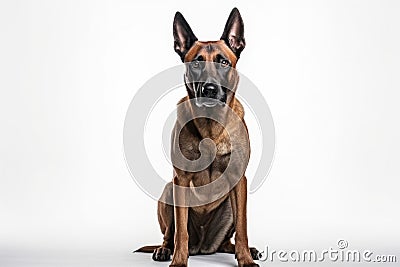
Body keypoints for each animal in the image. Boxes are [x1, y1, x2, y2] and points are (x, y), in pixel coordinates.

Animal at [135, 8, 260, 267]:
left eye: (223, 62)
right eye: (195, 63)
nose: (209, 90)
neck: (211, 126)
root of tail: (203, 247)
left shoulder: (239, 180)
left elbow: (243, 228)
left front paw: (245, 259)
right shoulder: (181, 180)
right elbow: (180, 232)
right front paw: (178, 261)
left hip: (229, 204)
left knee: (228, 241)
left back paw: (245, 250)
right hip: (169, 191)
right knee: (169, 235)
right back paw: (164, 250)